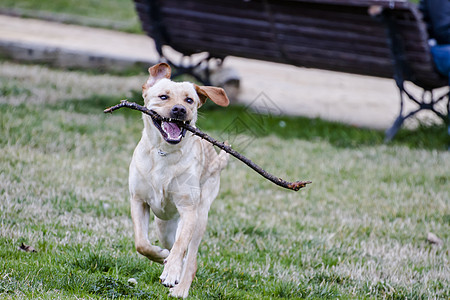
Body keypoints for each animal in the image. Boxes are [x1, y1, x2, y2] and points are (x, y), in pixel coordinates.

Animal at [129, 63, 229, 298]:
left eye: (189, 100)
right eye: (163, 97)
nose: (179, 110)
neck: (164, 152)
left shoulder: (189, 209)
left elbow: (182, 244)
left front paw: (171, 272)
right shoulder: (138, 200)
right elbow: (141, 243)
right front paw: (159, 255)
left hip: (201, 214)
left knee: (190, 257)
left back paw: (180, 287)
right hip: (164, 224)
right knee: (172, 243)